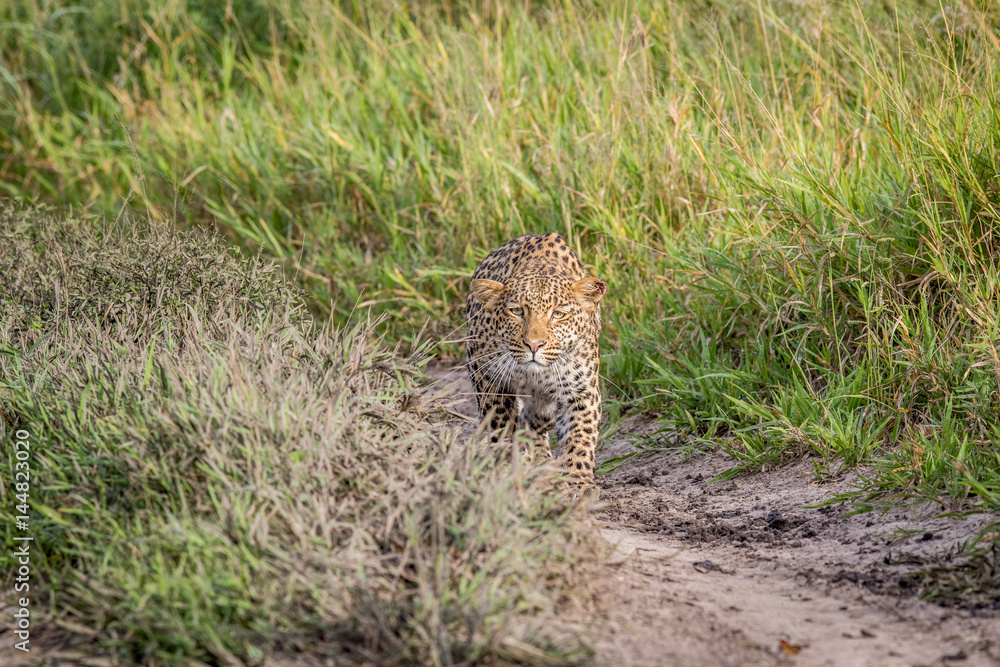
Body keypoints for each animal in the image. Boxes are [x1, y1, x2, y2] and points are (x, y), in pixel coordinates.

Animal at [465, 232, 606, 488]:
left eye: (558, 314)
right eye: (517, 311)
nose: (533, 345)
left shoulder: (582, 390)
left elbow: (581, 433)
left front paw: (577, 479)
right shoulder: (489, 377)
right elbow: (500, 423)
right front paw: (507, 466)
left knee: (536, 421)